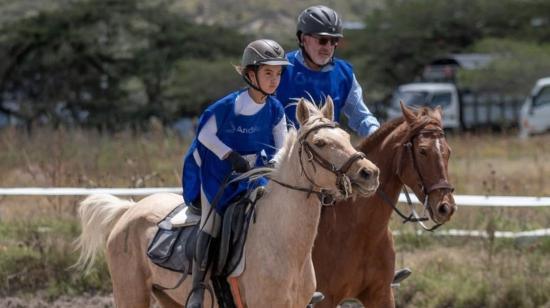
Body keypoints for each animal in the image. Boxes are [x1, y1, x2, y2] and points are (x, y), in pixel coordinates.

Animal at [75, 97, 382, 308]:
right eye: (319, 143)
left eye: (346, 136)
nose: (369, 173)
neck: (284, 244)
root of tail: (130, 210)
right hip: (131, 294)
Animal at [312, 102, 460, 306]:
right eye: (422, 151)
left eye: (448, 152)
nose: (446, 207)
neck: (361, 230)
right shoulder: (324, 299)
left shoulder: (382, 294)